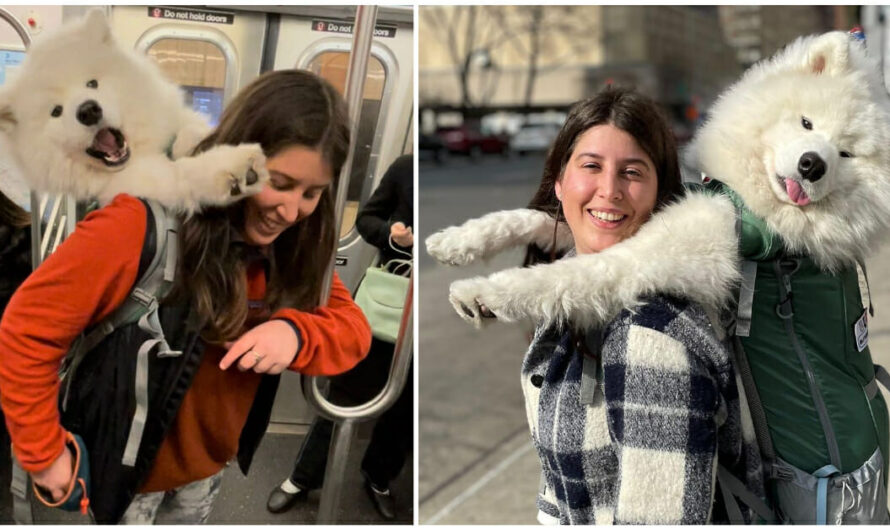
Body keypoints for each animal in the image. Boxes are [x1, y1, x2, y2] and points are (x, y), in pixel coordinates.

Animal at [0, 8, 268, 212]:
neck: (143, 148)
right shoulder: (137, 182)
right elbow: (183, 172)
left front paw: (191, 140)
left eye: (92, 83)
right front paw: (237, 169)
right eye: (56, 111)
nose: (88, 110)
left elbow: (189, 130)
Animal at [422, 31, 888, 328]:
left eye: (845, 153)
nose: (813, 165)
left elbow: (562, 276)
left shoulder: (653, 254)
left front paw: (478, 294)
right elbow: (531, 217)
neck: (741, 198)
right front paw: (454, 241)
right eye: (807, 122)